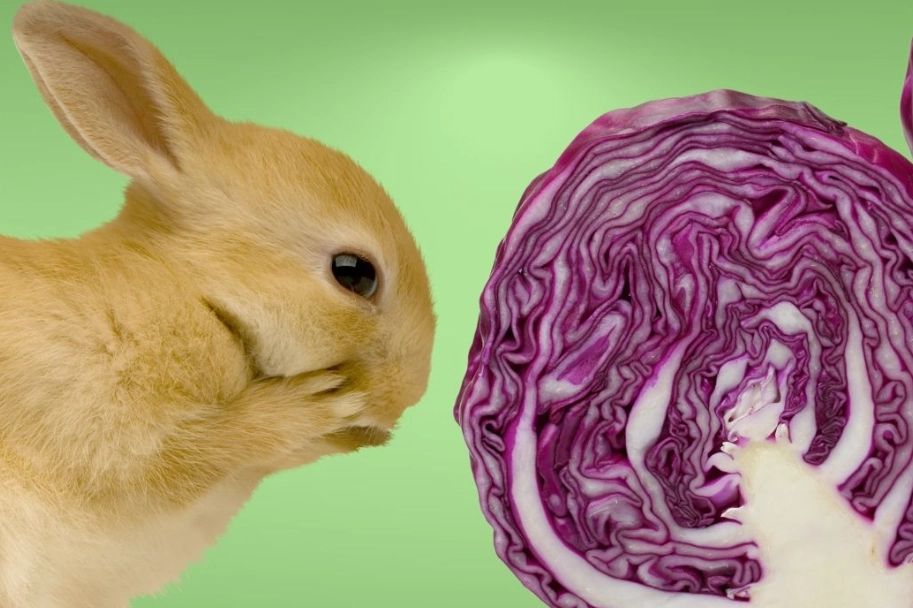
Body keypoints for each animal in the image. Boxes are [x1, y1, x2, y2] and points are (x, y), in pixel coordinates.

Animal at [0, 1, 436, 606]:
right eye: (354, 273)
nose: (407, 395)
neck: (199, 296)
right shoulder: (107, 429)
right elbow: (201, 450)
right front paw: (316, 407)